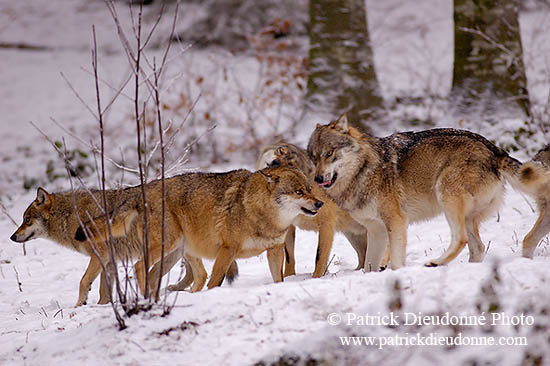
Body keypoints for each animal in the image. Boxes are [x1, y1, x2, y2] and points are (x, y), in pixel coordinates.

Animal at [77, 167, 324, 294]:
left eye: (309, 189)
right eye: (299, 192)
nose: (320, 203)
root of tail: (141, 190)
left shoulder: (274, 250)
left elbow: (278, 279)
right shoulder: (228, 249)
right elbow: (216, 280)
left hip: (182, 250)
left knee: (197, 276)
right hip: (167, 245)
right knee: (140, 267)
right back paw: (148, 297)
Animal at [308, 115, 548, 272]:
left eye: (329, 153)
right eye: (313, 157)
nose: (317, 179)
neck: (363, 171)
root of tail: (495, 149)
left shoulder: (396, 222)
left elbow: (396, 261)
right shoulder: (376, 231)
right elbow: (369, 266)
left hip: (447, 195)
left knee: (460, 239)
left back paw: (436, 263)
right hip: (468, 216)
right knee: (478, 248)